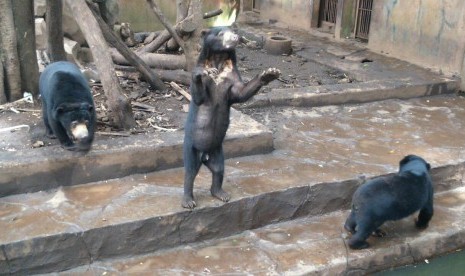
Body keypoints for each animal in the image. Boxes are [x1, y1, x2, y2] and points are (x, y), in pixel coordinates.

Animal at [181, 27, 280, 209]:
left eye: (233, 29)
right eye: (220, 33)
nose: (236, 36)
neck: (219, 61)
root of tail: (205, 156)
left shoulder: (232, 77)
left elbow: (240, 93)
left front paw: (270, 73)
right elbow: (199, 96)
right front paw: (205, 73)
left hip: (218, 151)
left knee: (219, 170)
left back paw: (221, 194)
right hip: (192, 146)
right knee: (190, 171)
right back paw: (188, 201)